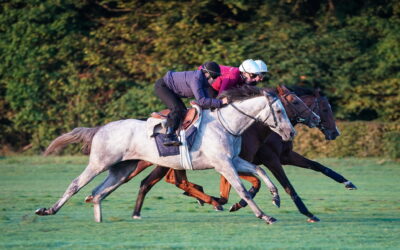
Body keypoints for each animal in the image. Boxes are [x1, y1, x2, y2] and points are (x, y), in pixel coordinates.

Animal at [36, 86, 296, 225]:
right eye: (280, 110)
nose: (291, 132)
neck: (227, 124)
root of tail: (100, 128)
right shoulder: (224, 164)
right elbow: (242, 189)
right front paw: (264, 216)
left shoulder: (233, 160)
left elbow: (259, 170)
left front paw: (275, 198)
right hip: (100, 163)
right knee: (76, 184)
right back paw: (48, 210)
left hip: (123, 170)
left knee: (98, 192)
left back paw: (99, 219)